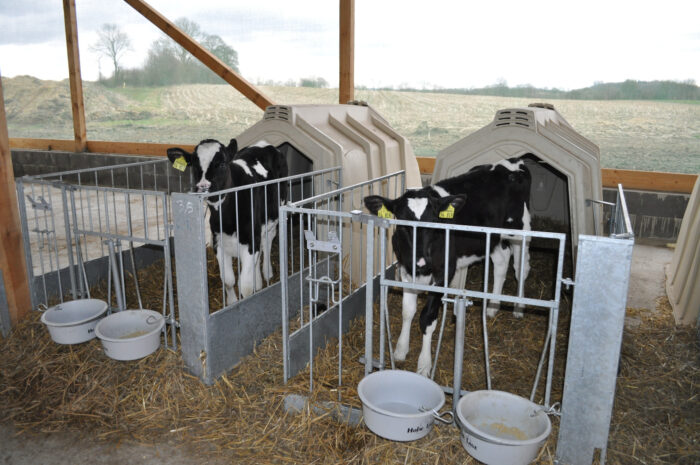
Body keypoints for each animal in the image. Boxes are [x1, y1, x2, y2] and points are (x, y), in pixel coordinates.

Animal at [168, 138, 288, 304]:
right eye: (195, 165)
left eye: (222, 164)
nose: (203, 186)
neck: (227, 219)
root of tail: (265, 143)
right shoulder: (218, 242)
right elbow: (228, 281)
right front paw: (232, 302)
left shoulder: (249, 240)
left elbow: (245, 286)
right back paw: (258, 281)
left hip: (274, 215)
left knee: (268, 242)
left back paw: (267, 273)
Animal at [366, 154, 532, 376]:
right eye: (402, 224)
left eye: (435, 222)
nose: (421, 262)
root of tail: (514, 160)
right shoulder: (406, 269)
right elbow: (407, 311)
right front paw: (400, 350)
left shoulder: (444, 271)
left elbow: (427, 317)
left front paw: (424, 365)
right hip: (491, 237)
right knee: (502, 261)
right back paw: (492, 307)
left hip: (521, 230)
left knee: (521, 266)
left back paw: (519, 308)